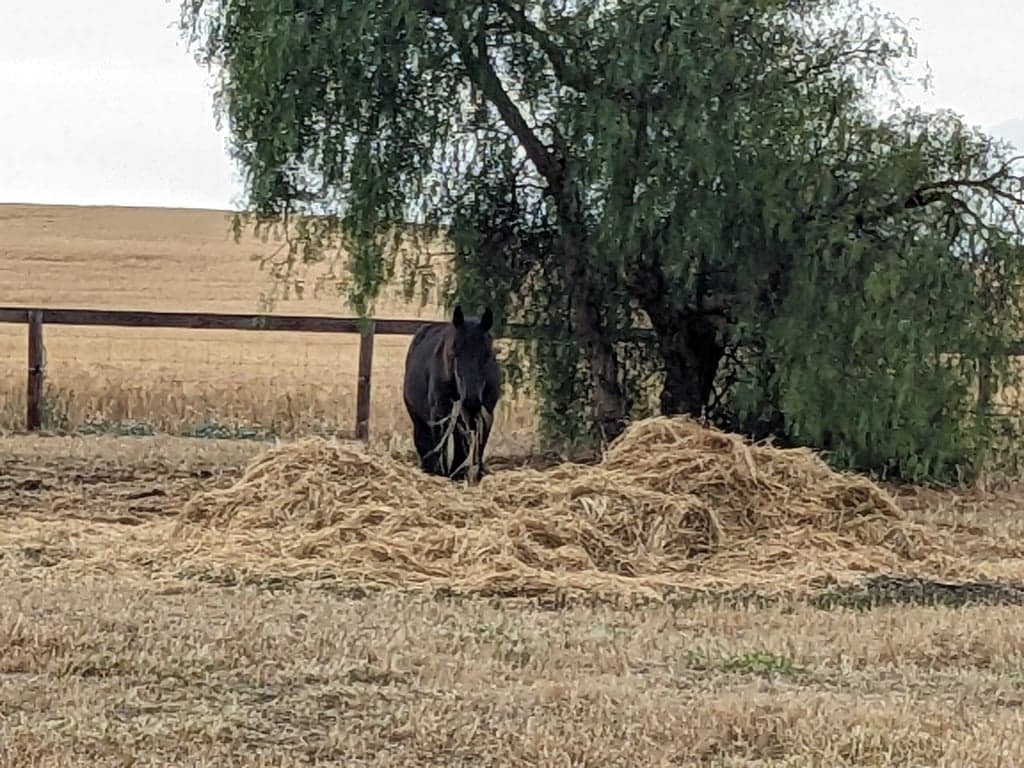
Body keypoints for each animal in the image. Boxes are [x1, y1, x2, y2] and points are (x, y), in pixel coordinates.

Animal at [402, 305, 502, 482]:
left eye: (487, 354)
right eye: (454, 353)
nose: (471, 399)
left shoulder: (485, 415)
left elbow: (477, 447)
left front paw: (472, 475)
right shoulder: (439, 415)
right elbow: (440, 447)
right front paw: (442, 474)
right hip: (419, 419)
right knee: (425, 444)